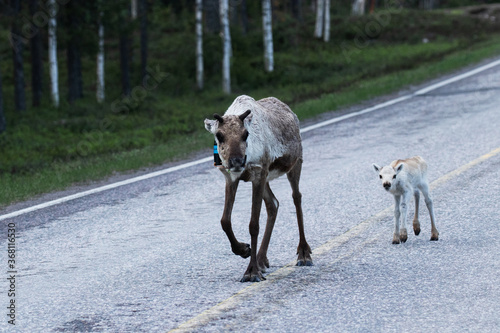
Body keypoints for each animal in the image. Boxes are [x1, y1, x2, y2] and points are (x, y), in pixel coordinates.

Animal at [203, 94, 312, 282]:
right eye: (219, 135)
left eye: (245, 134)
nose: (237, 161)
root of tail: (289, 110)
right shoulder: (231, 178)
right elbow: (225, 221)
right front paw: (244, 250)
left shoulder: (258, 173)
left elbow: (253, 224)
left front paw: (251, 272)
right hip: (267, 178)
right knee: (273, 204)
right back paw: (261, 259)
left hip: (295, 162)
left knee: (296, 197)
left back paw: (304, 253)